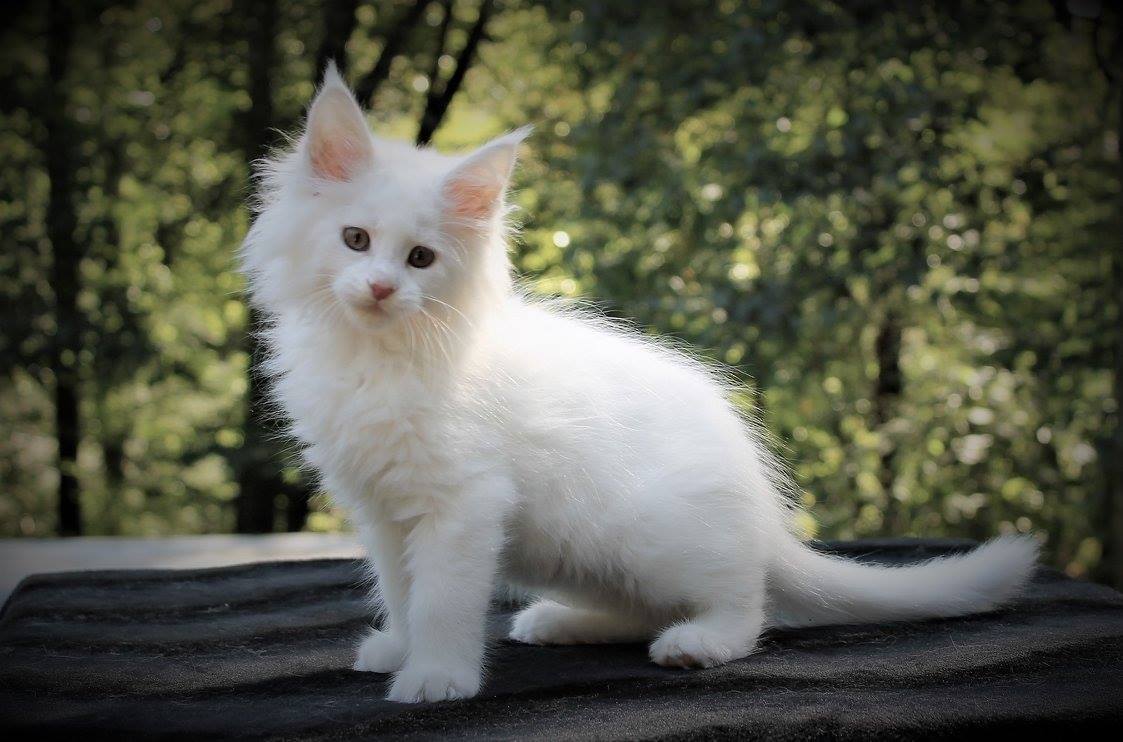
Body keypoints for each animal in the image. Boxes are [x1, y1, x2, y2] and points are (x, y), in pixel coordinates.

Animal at [241, 66, 1037, 704]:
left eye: (420, 258)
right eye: (355, 240)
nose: (380, 288)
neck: (380, 355)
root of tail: (760, 509)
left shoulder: (462, 504)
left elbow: (440, 599)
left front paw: (436, 677)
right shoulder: (382, 509)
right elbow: (401, 591)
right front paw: (401, 650)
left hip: (648, 531)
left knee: (746, 603)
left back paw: (699, 643)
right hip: (571, 549)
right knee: (650, 606)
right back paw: (562, 622)